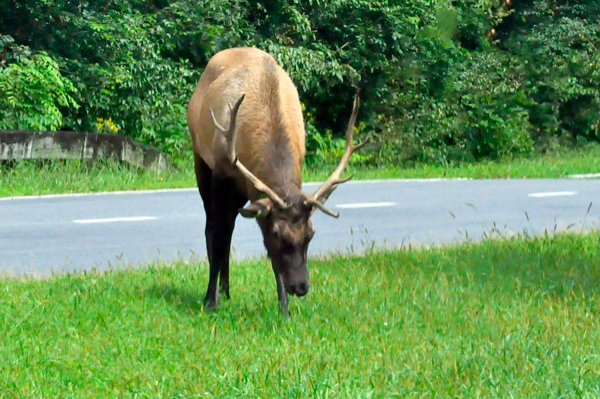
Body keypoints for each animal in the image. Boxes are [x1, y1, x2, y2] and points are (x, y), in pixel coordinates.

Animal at [185, 47, 368, 316]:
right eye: (277, 233)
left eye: (311, 234)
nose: (301, 287)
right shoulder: (220, 170)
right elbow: (217, 234)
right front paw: (210, 301)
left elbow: (269, 256)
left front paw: (285, 309)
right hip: (200, 159)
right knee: (215, 227)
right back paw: (217, 294)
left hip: (240, 192)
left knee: (230, 226)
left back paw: (227, 291)